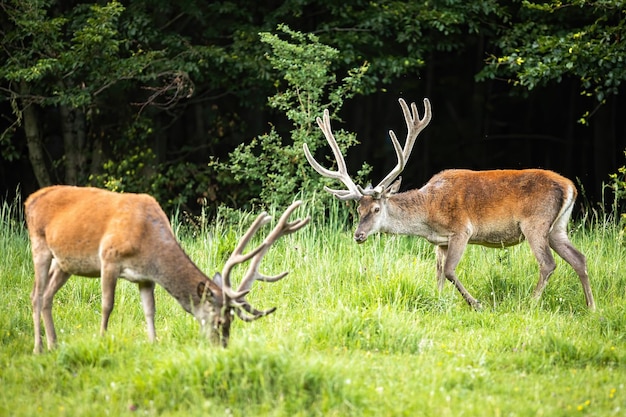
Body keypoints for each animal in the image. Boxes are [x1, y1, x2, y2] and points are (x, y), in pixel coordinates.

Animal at [25, 185, 308, 352]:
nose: (223, 347)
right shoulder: (109, 258)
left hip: (64, 263)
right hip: (39, 245)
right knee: (36, 294)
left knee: (47, 295)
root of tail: (30, 199)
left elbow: (150, 310)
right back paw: (38, 348)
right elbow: (107, 305)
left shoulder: (146, 278)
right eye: (219, 320)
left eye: (231, 320)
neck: (148, 242)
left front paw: (153, 343)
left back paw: (54, 344)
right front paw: (102, 339)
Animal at [302, 97, 596, 310]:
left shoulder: (461, 230)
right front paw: (439, 300)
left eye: (375, 209)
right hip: (557, 227)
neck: (428, 215)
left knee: (548, 263)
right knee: (579, 258)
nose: (359, 235)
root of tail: (570, 186)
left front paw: (476, 303)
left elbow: (451, 271)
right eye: (358, 210)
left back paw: (531, 303)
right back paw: (591, 307)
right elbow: (439, 273)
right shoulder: (439, 242)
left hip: (535, 222)